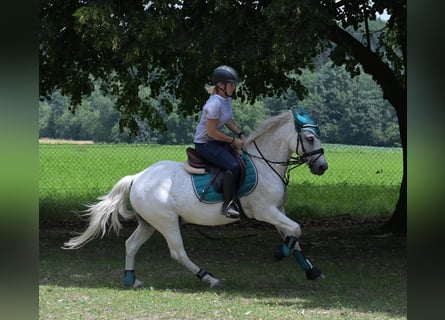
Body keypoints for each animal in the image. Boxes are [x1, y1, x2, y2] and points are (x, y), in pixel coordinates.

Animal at [63, 109, 326, 288]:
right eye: (310, 138)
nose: (322, 167)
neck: (265, 164)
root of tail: (138, 177)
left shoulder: (278, 210)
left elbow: (293, 235)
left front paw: (311, 271)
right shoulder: (265, 211)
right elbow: (296, 230)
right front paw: (279, 253)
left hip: (148, 222)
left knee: (131, 245)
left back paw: (131, 280)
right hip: (167, 222)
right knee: (177, 252)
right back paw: (209, 278)